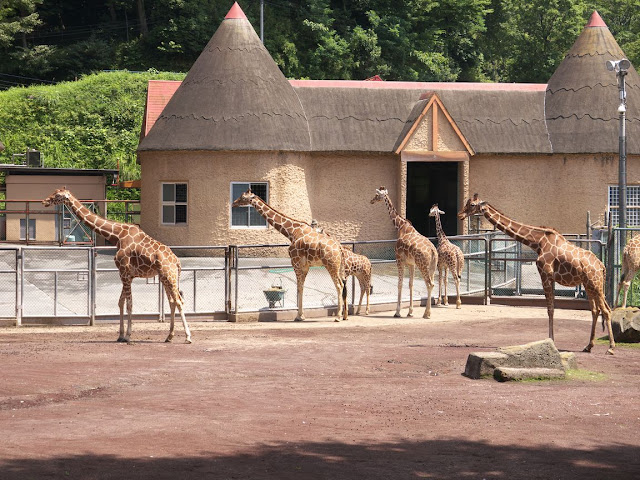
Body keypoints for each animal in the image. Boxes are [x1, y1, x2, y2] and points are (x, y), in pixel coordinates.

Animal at [42, 186, 191, 344]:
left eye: (57, 195)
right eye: (54, 192)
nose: (44, 201)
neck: (116, 235)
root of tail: (177, 262)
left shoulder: (124, 271)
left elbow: (129, 304)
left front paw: (128, 336)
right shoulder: (127, 275)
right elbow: (121, 302)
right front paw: (120, 335)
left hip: (169, 276)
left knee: (179, 301)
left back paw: (188, 337)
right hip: (165, 277)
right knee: (172, 301)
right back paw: (169, 336)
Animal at [232, 189, 348, 320]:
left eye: (243, 197)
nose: (233, 203)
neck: (291, 232)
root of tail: (339, 247)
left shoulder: (295, 262)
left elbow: (298, 287)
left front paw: (299, 316)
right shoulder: (305, 266)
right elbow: (301, 286)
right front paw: (301, 315)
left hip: (331, 265)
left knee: (339, 285)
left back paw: (338, 317)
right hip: (340, 266)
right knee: (344, 284)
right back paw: (345, 315)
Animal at [370, 188, 440, 318]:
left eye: (377, 195)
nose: (371, 200)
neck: (400, 226)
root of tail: (433, 251)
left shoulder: (399, 259)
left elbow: (400, 284)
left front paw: (397, 312)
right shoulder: (411, 264)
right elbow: (410, 284)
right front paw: (410, 311)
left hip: (422, 265)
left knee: (430, 284)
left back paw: (426, 313)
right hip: (432, 266)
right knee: (432, 283)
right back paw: (427, 312)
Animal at [458, 193, 612, 354]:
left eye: (472, 204)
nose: (460, 215)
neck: (538, 242)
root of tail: (602, 266)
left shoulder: (545, 275)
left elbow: (550, 309)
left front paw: (551, 340)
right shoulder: (550, 278)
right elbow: (552, 308)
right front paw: (551, 339)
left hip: (595, 284)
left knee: (606, 310)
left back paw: (611, 348)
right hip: (589, 285)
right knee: (595, 310)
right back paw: (588, 346)